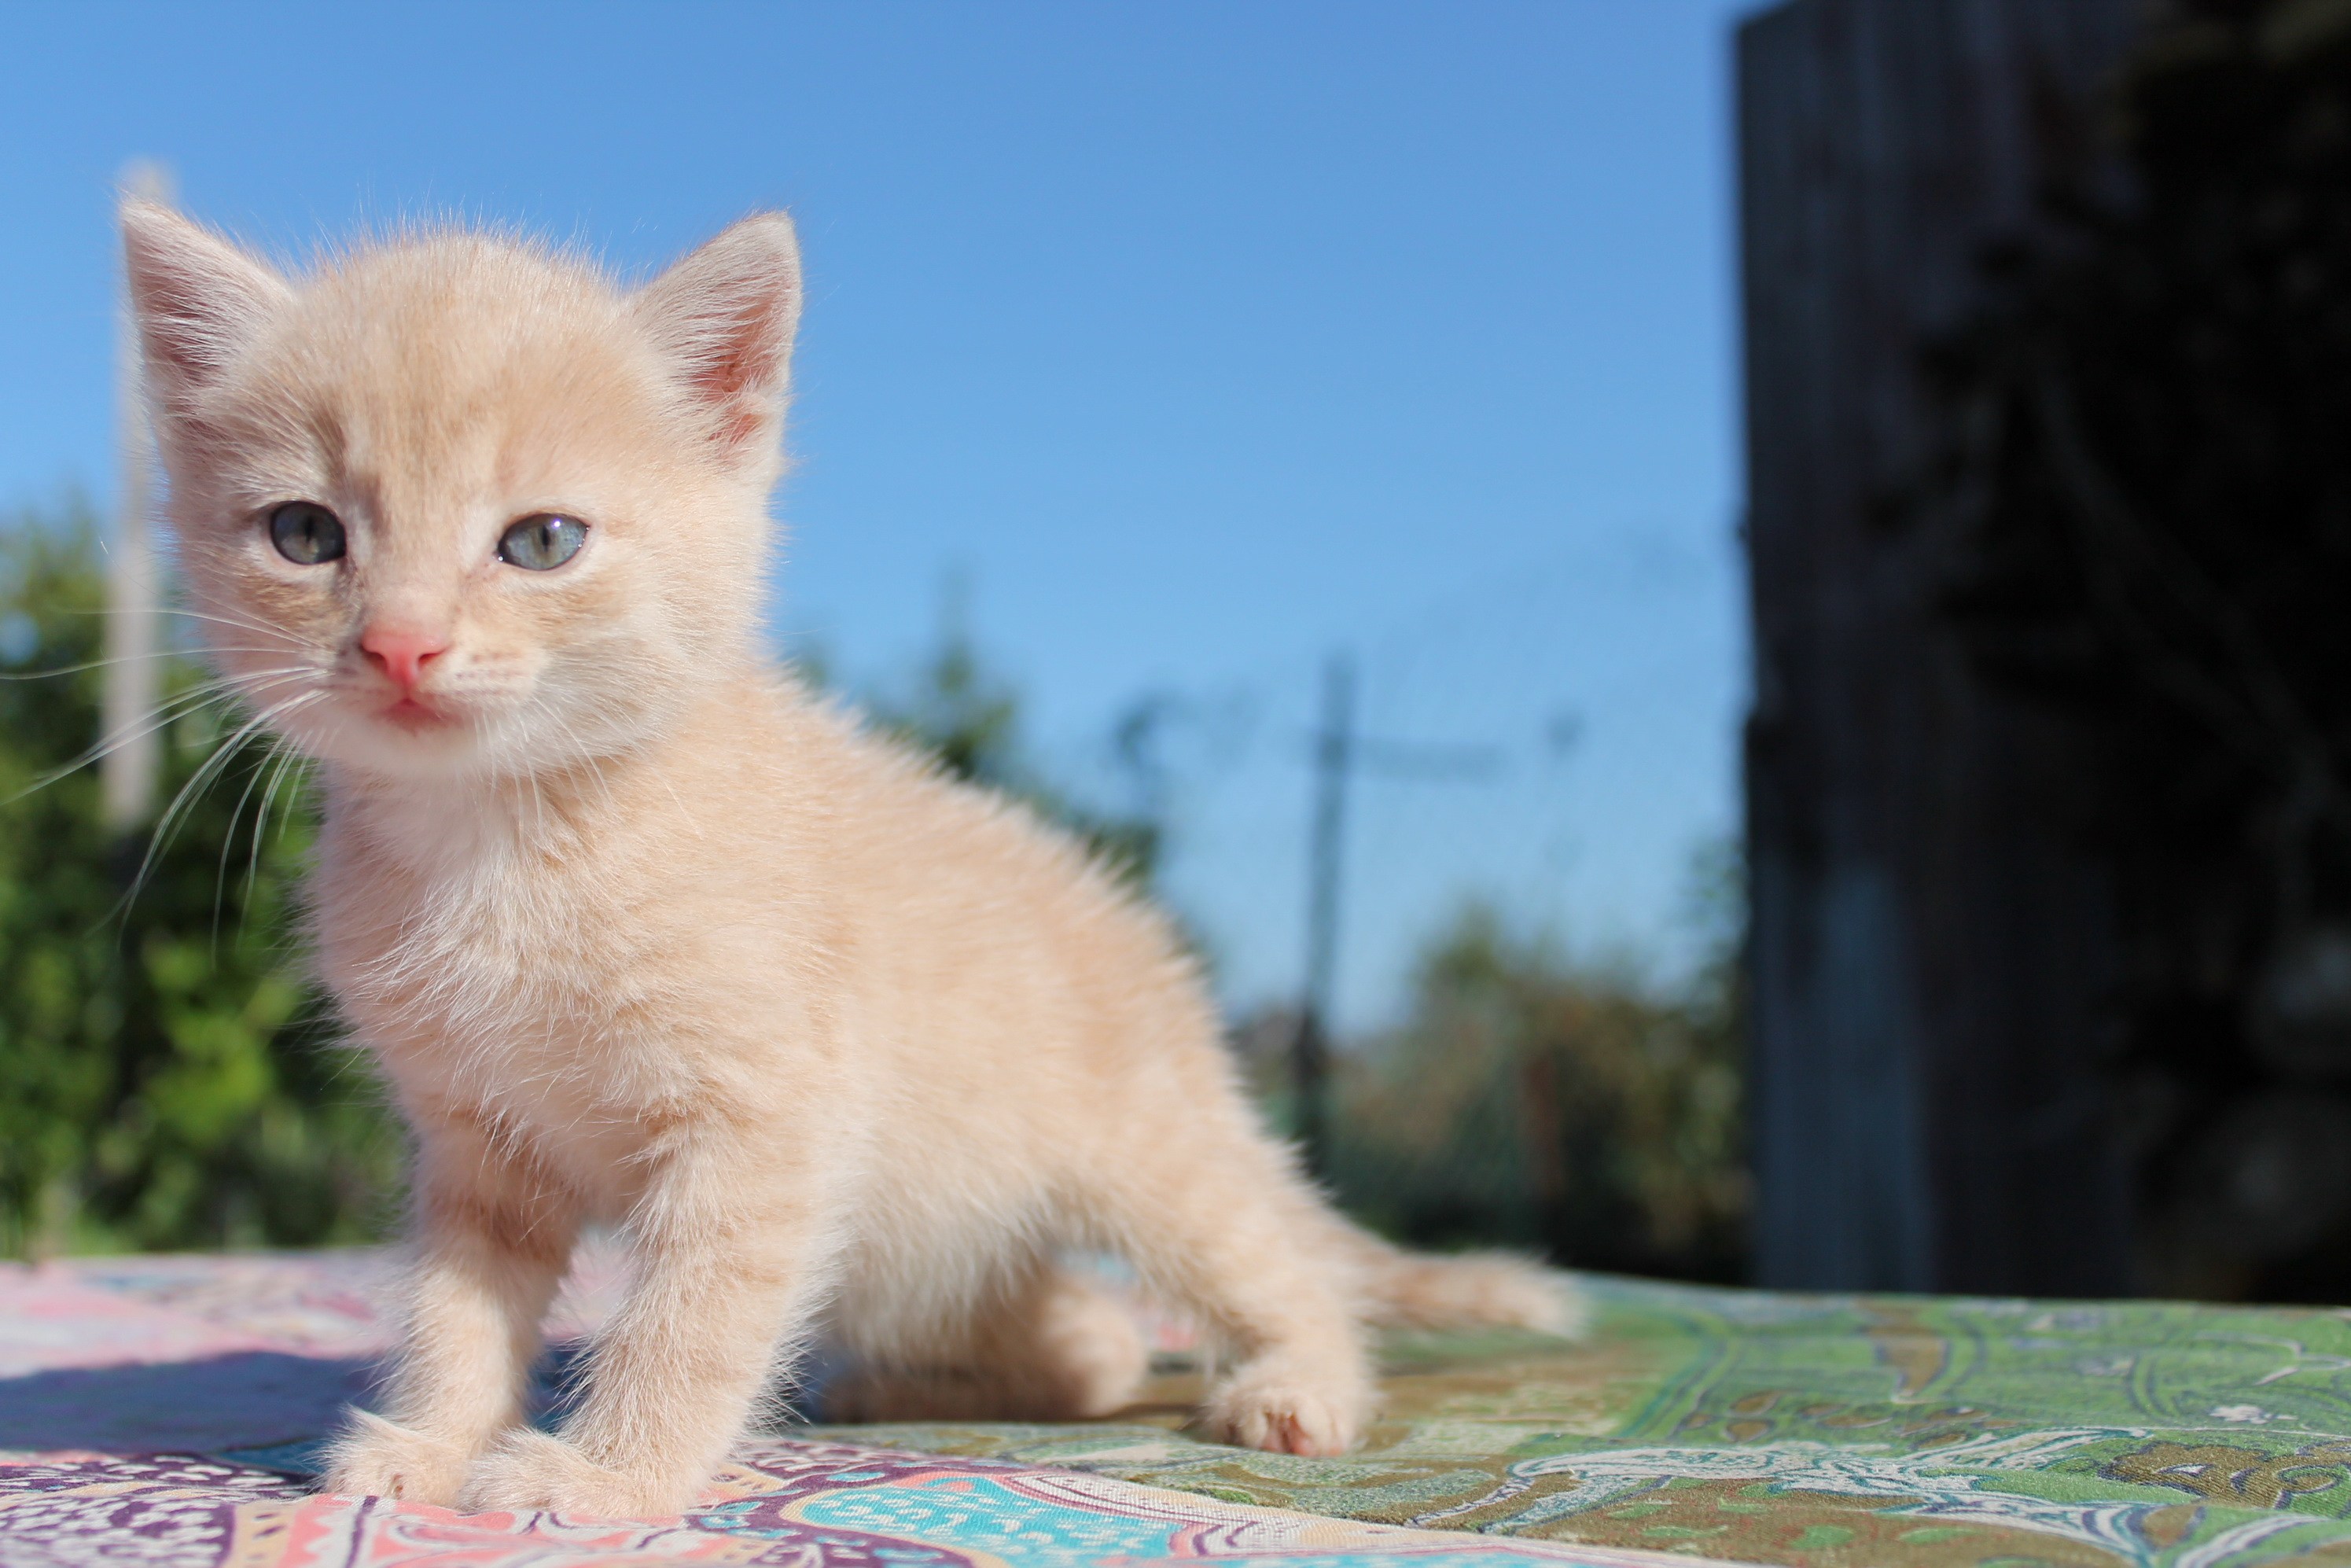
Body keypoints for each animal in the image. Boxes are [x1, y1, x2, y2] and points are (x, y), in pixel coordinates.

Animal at [119, 202, 1570, 1514]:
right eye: (306, 534)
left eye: (541, 541)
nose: (403, 644)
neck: (502, 841)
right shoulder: (476, 1145)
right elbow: (452, 1309)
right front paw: (427, 1443)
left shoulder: (768, 1122)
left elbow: (692, 1312)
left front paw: (605, 1474)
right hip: (926, 1234)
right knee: (1093, 1339)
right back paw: (903, 1382)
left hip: (1145, 1154)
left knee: (1275, 1263)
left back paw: (1302, 1382)